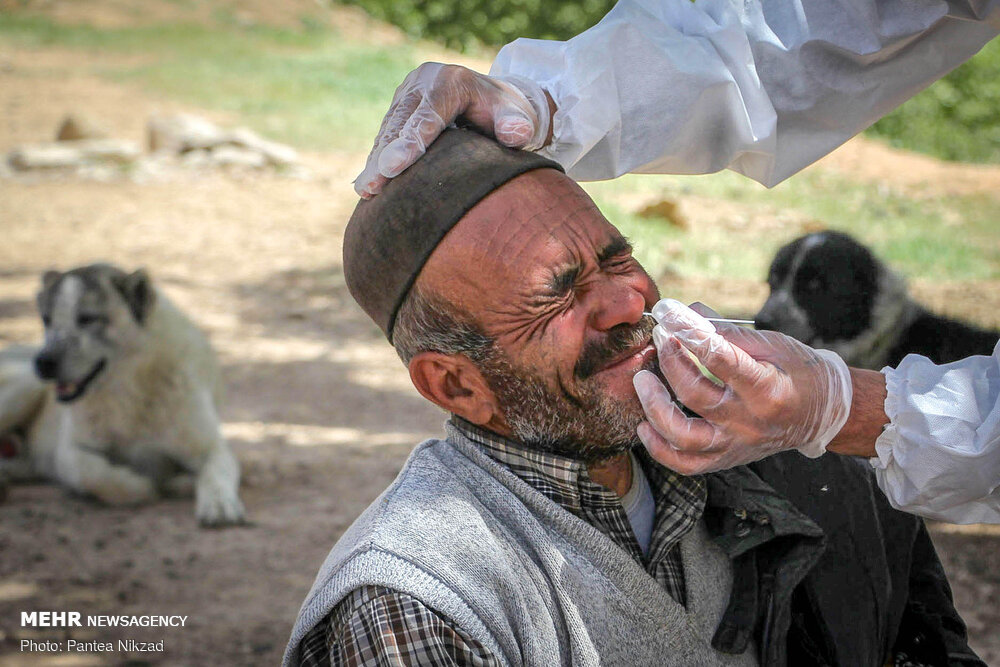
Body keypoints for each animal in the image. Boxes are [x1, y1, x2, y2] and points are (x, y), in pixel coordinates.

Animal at [0, 266, 242, 528]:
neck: (127, 391)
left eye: (87, 318)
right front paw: (140, 486)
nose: (43, 362)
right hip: (26, 385)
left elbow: (215, 474)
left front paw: (218, 504)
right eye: (47, 320)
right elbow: (94, 474)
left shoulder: (212, 448)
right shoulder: (69, 452)